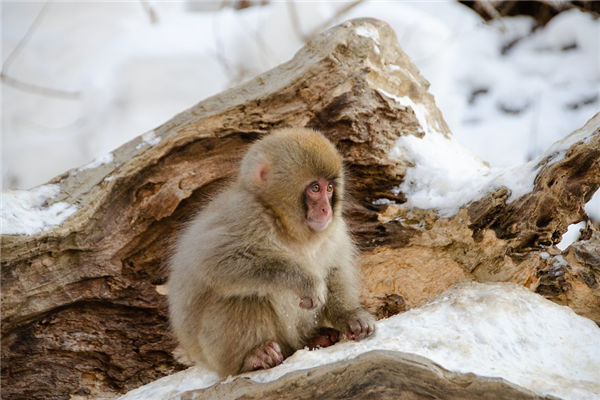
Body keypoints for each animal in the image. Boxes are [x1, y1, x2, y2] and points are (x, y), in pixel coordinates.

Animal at [168, 127, 376, 376]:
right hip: (216, 354)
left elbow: (334, 270)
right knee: (243, 296)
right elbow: (216, 263)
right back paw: (253, 357)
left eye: (330, 188)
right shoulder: (244, 215)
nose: (326, 209)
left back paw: (314, 338)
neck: (285, 225)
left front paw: (351, 316)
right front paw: (305, 281)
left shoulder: (335, 231)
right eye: (315, 188)